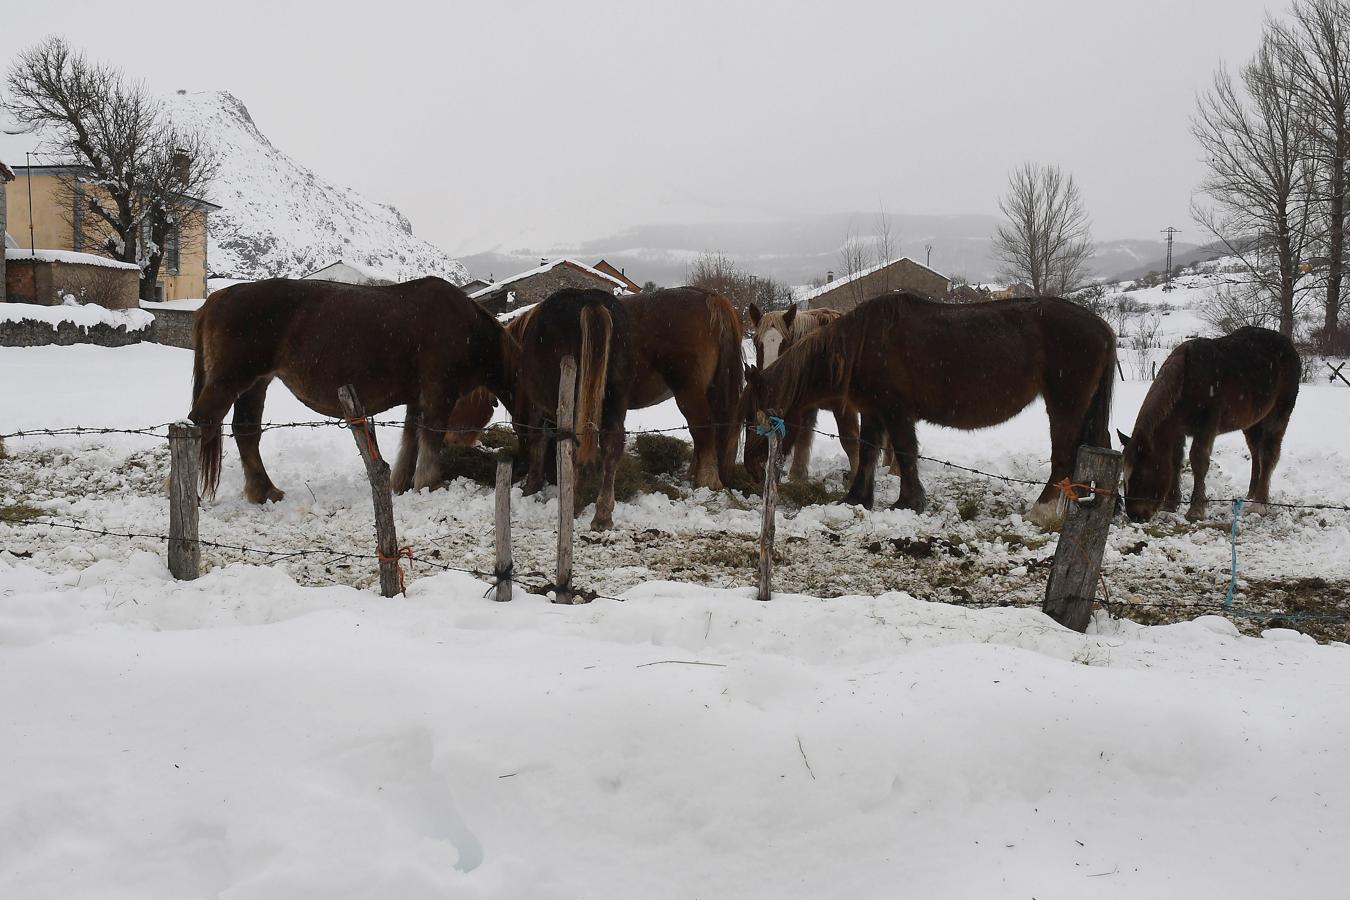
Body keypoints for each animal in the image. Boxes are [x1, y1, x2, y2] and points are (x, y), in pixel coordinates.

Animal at [193, 277, 518, 504]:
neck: (465, 325)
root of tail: (220, 296)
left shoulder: (417, 399)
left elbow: (411, 439)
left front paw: (400, 483)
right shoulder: (439, 394)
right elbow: (429, 438)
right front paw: (430, 484)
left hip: (255, 384)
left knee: (246, 431)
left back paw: (264, 492)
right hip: (231, 380)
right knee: (201, 423)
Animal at [448, 287, 745, 493]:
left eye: (458, 398)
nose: (450, 440)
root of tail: (709, 297)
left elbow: (539, 439)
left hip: (689, 392)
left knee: (703, 430)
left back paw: (706, 481)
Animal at [515, 287, 631, 528]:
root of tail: (592, 302)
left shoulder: (537, 407)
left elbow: (538, 438)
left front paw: (532, 485)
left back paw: (574, 504)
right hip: (616, 399)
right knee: (612, 446)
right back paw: (602, 515)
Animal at [739, 290, 1117, 528]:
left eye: (755, 418)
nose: (753, 472)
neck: (860, 343)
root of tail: (1102, 327)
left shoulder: (896, 411)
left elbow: (905, 454)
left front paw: (909, 501)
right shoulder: (874, 411)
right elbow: (868, 452)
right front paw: (857, 498)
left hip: (1065, 405)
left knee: (1063, 457)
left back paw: (1041, 511)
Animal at [1112, 323, 1301, 520]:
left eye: (1141, 474)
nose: (1135, 515)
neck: (1186, 380)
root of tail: (1288, 345)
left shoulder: (1206, 426)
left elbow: (1198, 460)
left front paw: (1196, 509)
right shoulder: (1177, 430)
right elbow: (1175, 460)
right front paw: (1171, 504)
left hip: (1279, 414)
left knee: (1269, 454)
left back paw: (1259, 503)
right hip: (1253, 422)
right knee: (1256, 452)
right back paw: (1251, 493)